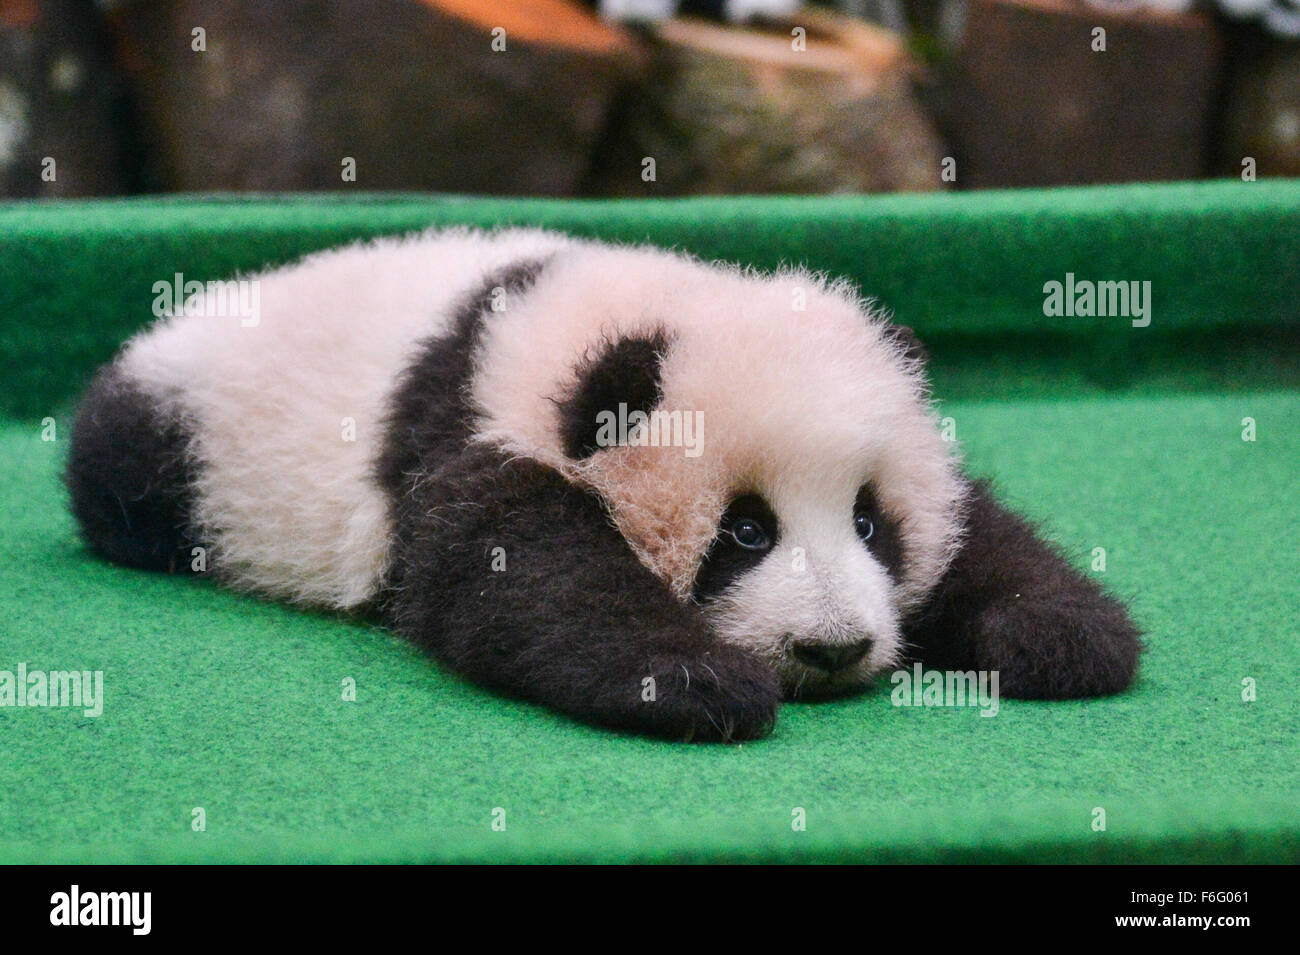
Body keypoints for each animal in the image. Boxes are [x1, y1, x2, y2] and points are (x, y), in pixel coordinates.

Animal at [65, 227, 1141, 742]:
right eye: (745, 532)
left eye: (872, 523)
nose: (833, 648)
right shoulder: (477, 437)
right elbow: (526, 577)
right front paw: (698, 679)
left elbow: (980, 532)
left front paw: (1060, 632)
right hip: (180, 436)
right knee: (120, 475)